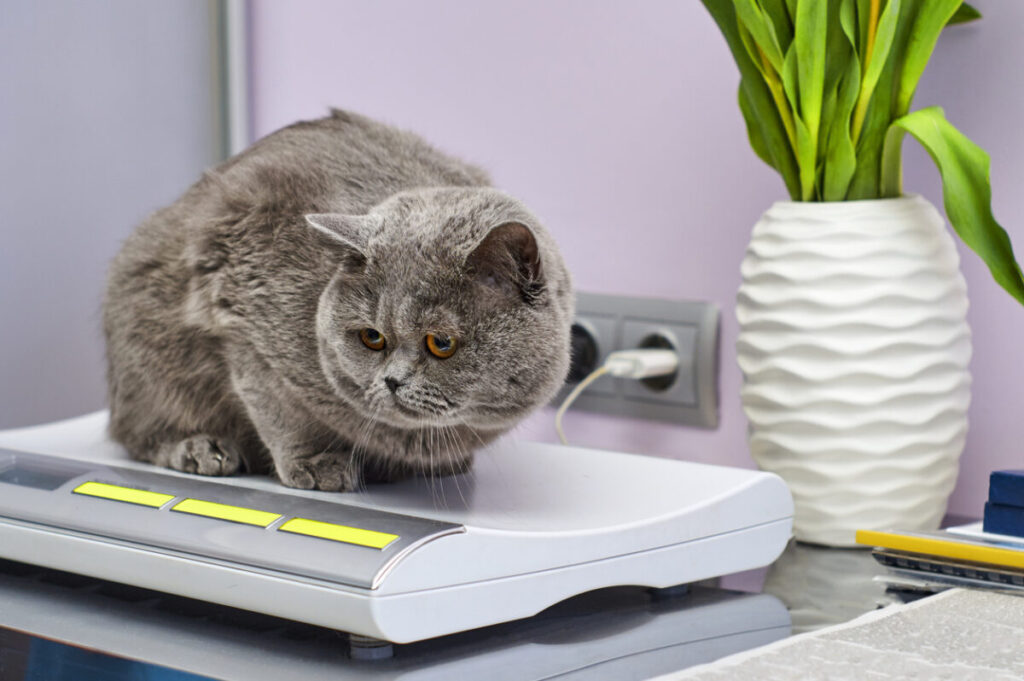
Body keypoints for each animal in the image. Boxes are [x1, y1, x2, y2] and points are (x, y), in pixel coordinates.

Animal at [103, 110, 577, 489]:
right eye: (372, 337)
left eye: (441, 343)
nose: (392, 381)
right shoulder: (241, 313)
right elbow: (277, 409)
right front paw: (317, 465)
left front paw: (441, 464)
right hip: (145, 343)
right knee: (136, 432)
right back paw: (202, 449)